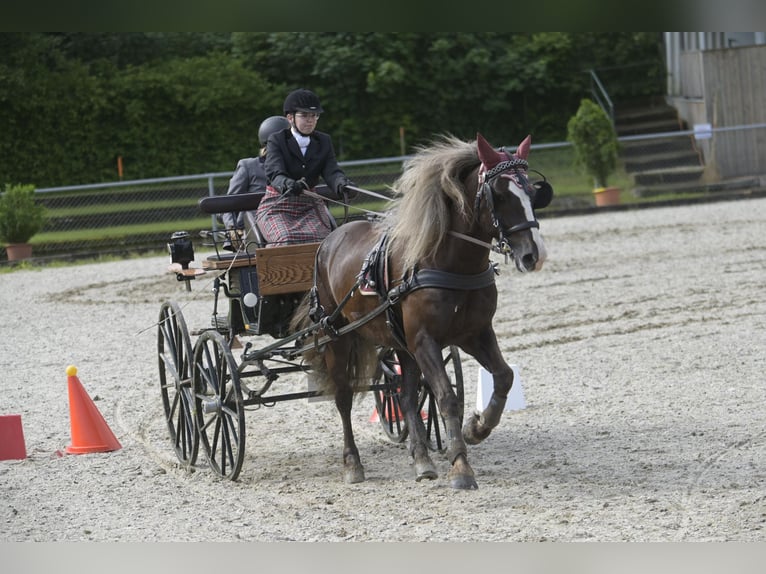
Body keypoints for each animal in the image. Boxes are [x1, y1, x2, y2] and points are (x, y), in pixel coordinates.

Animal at [290, 132, 552, 490]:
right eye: (499, 194)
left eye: (532, 193)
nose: (533, 255)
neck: (449, 262)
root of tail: (331, 239)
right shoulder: (425, 340)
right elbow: (446, 397)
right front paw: (461, 467)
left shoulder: (474, 333)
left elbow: (503, 376)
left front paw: (477, 428)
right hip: (338, 337)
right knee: (344, 397)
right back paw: (353, 464)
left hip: (401, 344)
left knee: (406, 397)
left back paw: (422, 460)